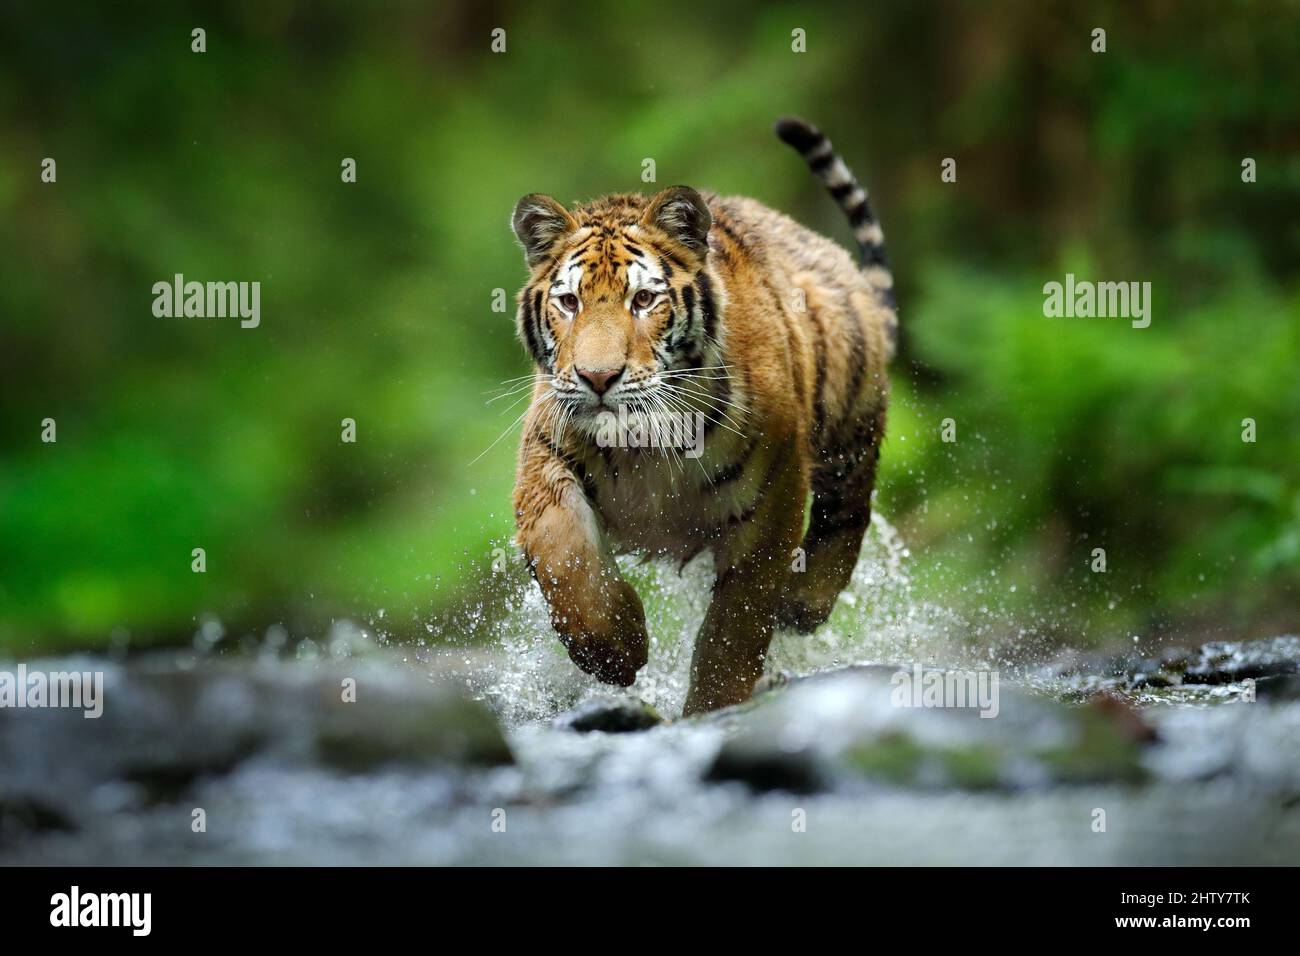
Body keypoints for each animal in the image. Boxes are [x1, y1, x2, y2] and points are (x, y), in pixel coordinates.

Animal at [508, 117, 898, 715]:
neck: (644, 441)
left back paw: (804, 600)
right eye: (569, 303)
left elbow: (734, 627)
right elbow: (564, 557)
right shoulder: (546, 458)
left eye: (644, 300)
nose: (598, 378)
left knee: (848, 512)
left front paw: (714, 707)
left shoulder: (771, 502)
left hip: (849, 423)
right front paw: (615, 651)